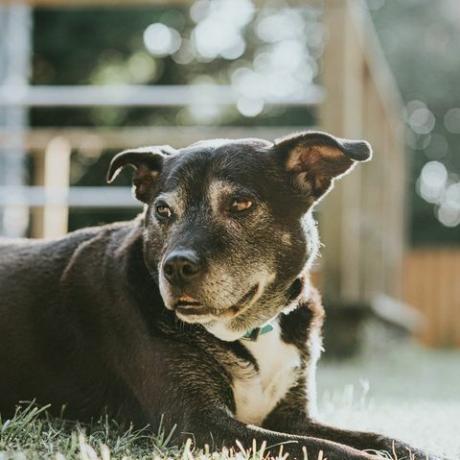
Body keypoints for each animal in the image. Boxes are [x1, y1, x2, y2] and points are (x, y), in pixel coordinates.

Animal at [0, 131, 432, 458]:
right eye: (162, 211)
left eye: (240, 203)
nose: (175, 267)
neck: (250, 327)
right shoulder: (198, 423)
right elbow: (322, 448)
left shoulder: (294, 416)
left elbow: (380, 438)